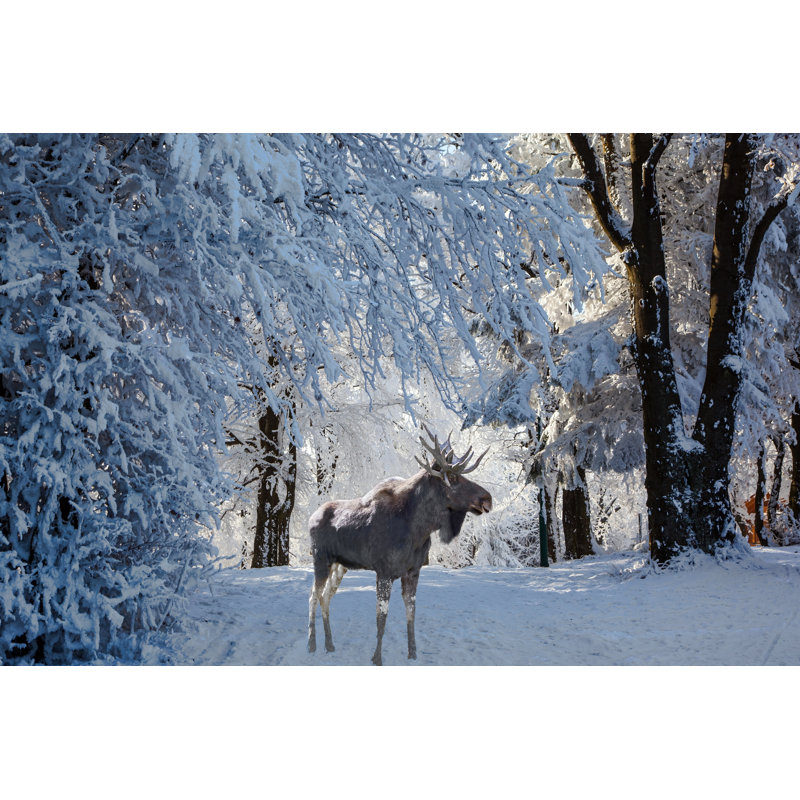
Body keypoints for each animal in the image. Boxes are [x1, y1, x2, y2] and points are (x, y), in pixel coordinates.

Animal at [307, 426, 492, 665]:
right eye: (452, 477)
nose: (487, 498)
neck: (419, 529)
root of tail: (311, 517)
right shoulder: (384, 571)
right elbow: (381, 616)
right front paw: (377, 657)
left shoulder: (413, 571)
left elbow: (411, 613)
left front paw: (413, 654)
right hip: (320, 559)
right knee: (314, 595)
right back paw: (311, 645)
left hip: (340, 565)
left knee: (326, 596)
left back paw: (329, 645)